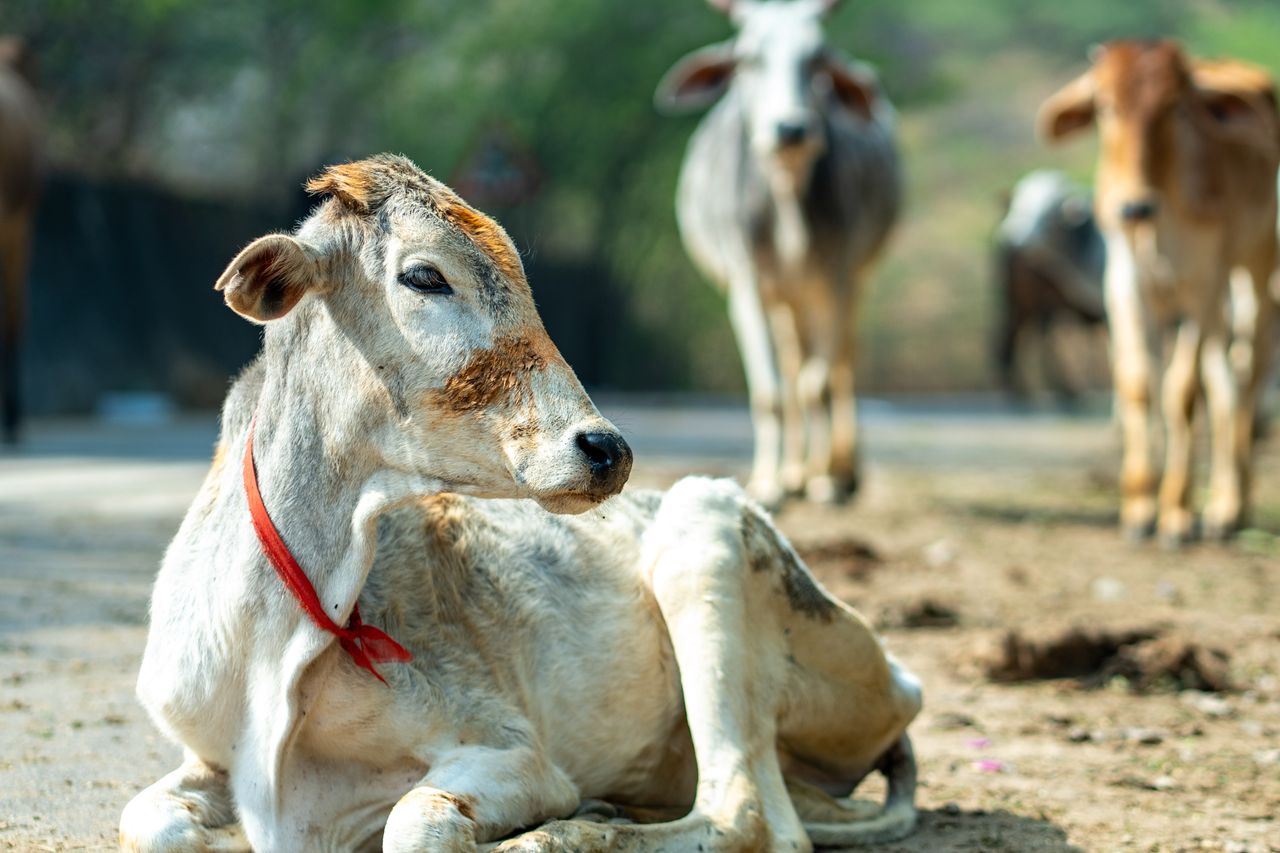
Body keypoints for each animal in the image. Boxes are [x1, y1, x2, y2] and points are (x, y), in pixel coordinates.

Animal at [119, 155, 922, 852]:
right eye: (423, 275)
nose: (606, 448)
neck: (281, 637)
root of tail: (904, 683)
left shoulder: (513, 753)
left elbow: (416, 821)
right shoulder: (207, 757)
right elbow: (145, 821)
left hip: (706, 531)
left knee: (747, 815)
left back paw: (568, 829)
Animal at [655, 0, 900, 507]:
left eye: (817, 59)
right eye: (749, 59)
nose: (791, 128)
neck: (787, 198)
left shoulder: (838, 278)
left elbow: (819, 383)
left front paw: (826, 481)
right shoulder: (747, 282)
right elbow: (770, 390)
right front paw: (769, 482)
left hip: (851, 281)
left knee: (841, 362)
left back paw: (840, 472)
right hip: (785, 299)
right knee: (790, 366)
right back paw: (792, 472)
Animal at [1039, 40, 1280, 544]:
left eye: (1176, 108)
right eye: (1104, 106)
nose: (1135, 207)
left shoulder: (1201, 287)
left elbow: (1182, 394)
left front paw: (1176, 513)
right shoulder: (1126, 283)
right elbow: (1137, 384)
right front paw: (1139, 508)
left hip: (1255, 266)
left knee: (1249, 369)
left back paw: (1231, 505)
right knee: (1223, 379)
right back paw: (1221, 506)